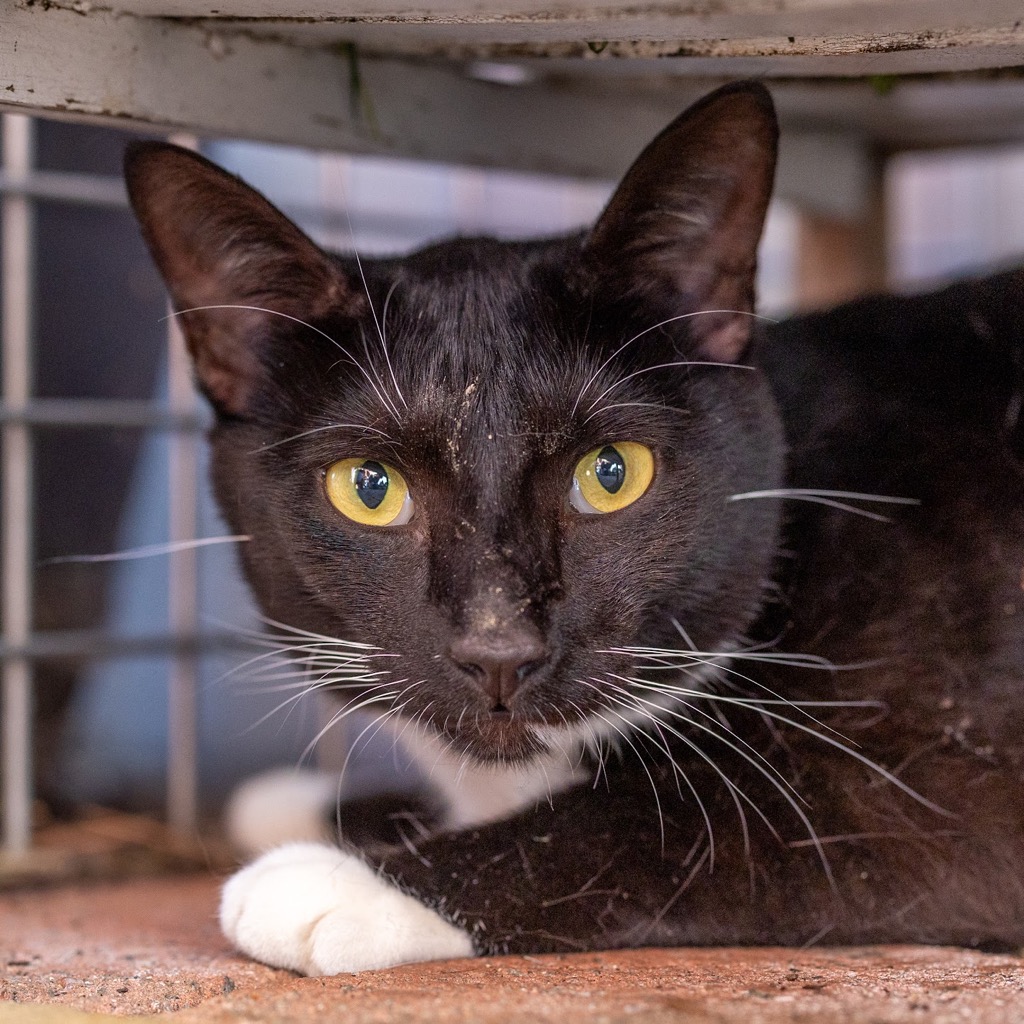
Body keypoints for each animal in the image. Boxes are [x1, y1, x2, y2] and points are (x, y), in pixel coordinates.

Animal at [124, 81, 1024, 976]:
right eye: (370, 488)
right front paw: (314, 804)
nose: (498, 649)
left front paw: (336, 882)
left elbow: (685, 823)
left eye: (611, 472)